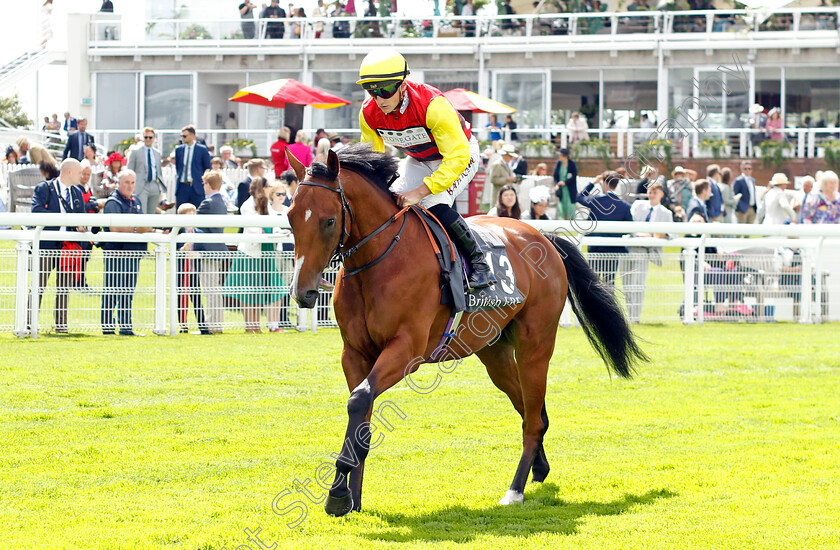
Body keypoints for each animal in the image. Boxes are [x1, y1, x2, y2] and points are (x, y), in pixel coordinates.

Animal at [286, 146, 648, 516]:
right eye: (290, 217)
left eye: (329, 220)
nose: (304, 292)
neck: (380, 258)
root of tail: (543, 238)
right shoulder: (355, 354)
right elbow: (361, 413)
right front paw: (351, 497)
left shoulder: (406, 351)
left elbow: (359, 400)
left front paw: (338, 493)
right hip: (495, 353)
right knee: (531, 411)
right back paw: (540, 468)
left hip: (535, 347)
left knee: (533, 419)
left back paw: (514, 490)